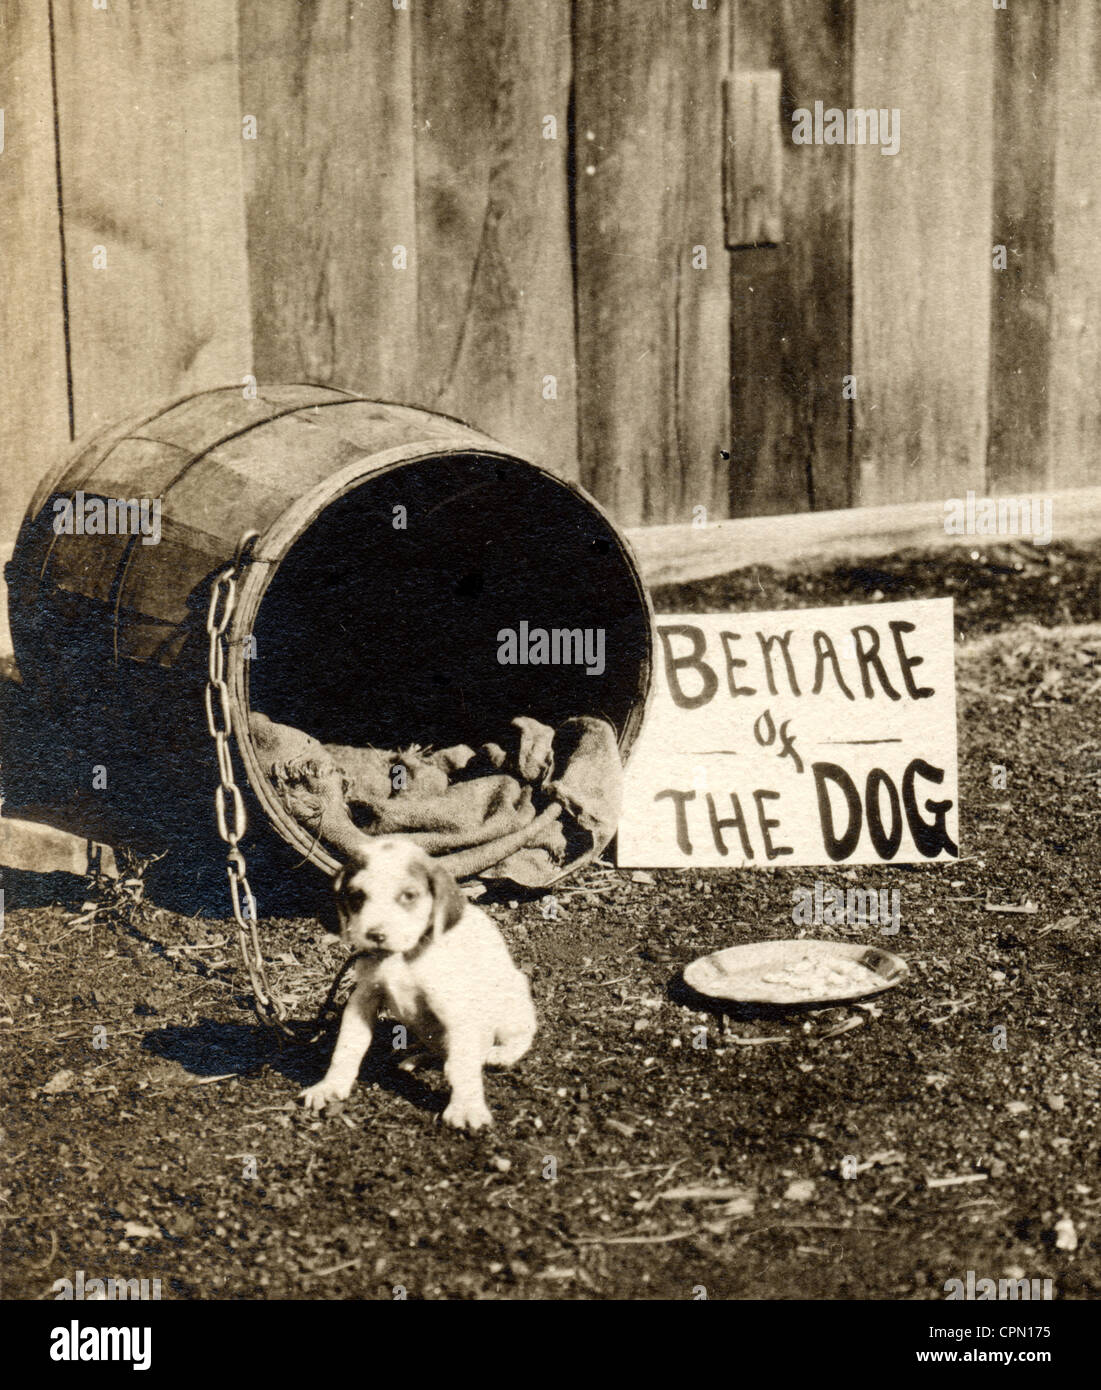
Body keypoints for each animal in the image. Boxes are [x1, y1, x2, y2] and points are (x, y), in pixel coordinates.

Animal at [303, 834, 536, 1128]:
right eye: (357, 896)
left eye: (408, 896)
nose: (375, 935)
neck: (401, 957)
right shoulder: (363, 998)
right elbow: (347, 1047)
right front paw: (330, 1086)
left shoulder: (455, 1008)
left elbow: (461, 1065)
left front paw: (466, 1106)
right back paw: (415, 1056)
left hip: (511, 1003)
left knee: (521, 1036)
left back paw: (501, 1054)